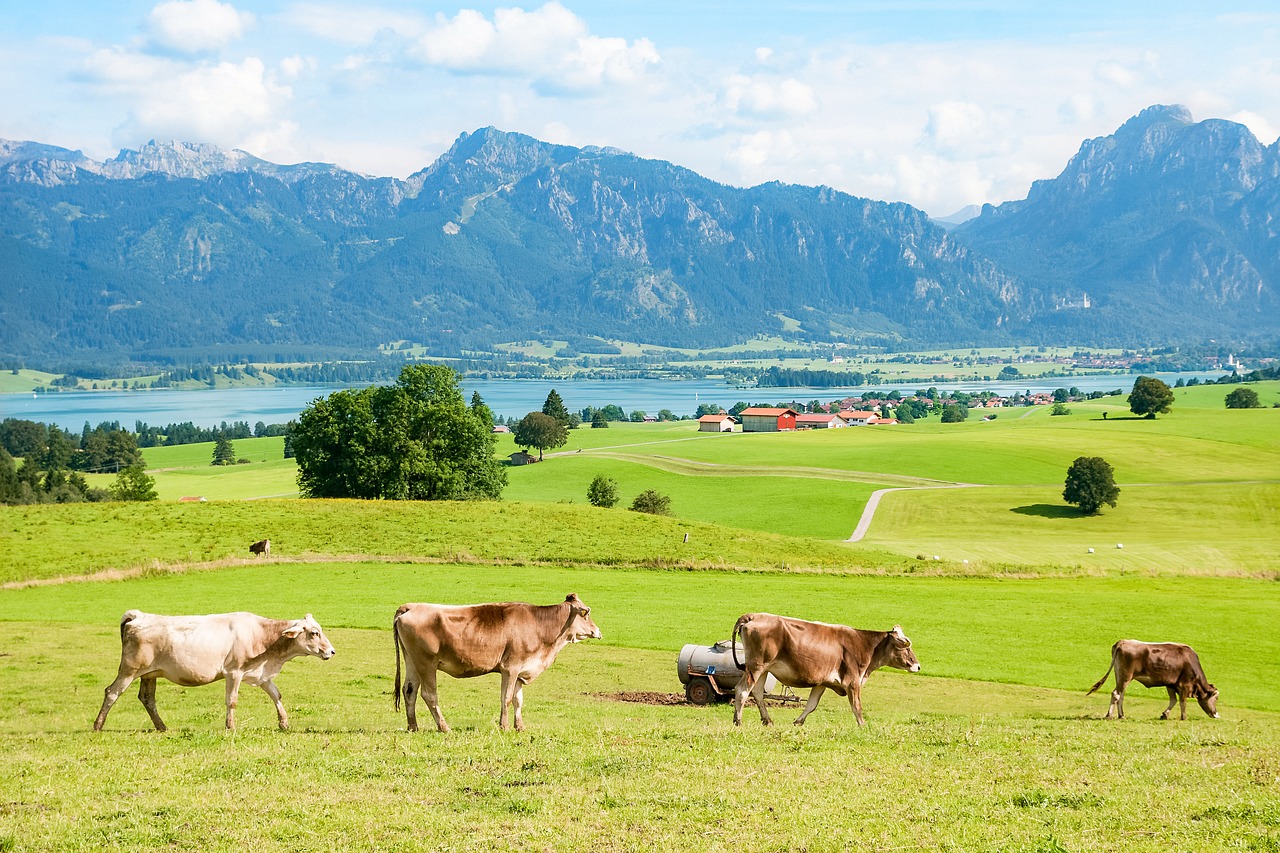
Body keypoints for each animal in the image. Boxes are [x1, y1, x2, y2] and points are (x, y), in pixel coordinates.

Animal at [93, 604, 335, 732]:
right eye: (314, 633)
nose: (331, 651)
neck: (263, 637)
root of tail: (139, 616)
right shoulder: (234, 672)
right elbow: (232, 700)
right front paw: (230, 727)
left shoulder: (262, 675)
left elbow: (277, 695)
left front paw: (284, 723)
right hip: (129, 670)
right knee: (112, 692)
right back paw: (98, 725)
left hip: (149, 674)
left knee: (147, 698)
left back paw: (161, 726)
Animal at [391, 591, 601, 732]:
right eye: (586, 613)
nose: (598, 631)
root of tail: (410, 606)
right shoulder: (511, 667)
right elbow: (506, 698)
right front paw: (504, 726)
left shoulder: (520, 670)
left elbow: (518, 700)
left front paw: (519, 726)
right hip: (426, 664)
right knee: (429, 694)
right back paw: (444, 727)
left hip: (412, 662)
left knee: (409, 691)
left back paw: (413, 727)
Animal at [732, 612, 921, 722]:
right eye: (906, 647)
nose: (918, 666)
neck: (864, 645)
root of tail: (753, 616)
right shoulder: (853, 682)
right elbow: (857, 708)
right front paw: (863, 728)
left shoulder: (821, 683)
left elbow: (811, 705)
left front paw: (798, 722)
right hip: (756, 667)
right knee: (742, 691)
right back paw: (738, 721)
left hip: (763, 669)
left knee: (757, 693)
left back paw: (768, 720)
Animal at [1090, 637, 1218, 717]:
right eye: (1216, 698)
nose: (1216, 714)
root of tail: (1123, 642)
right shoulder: (1184, 685)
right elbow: (1182, 702)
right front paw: (1184, 717)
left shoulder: (1170, 684)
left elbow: (1173, 700)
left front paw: (1165, 715)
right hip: (1125, 677)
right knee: (1116, 694)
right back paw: (1109, 715)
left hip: (1121, 677)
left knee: (1121, 695)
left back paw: (1121, 715)